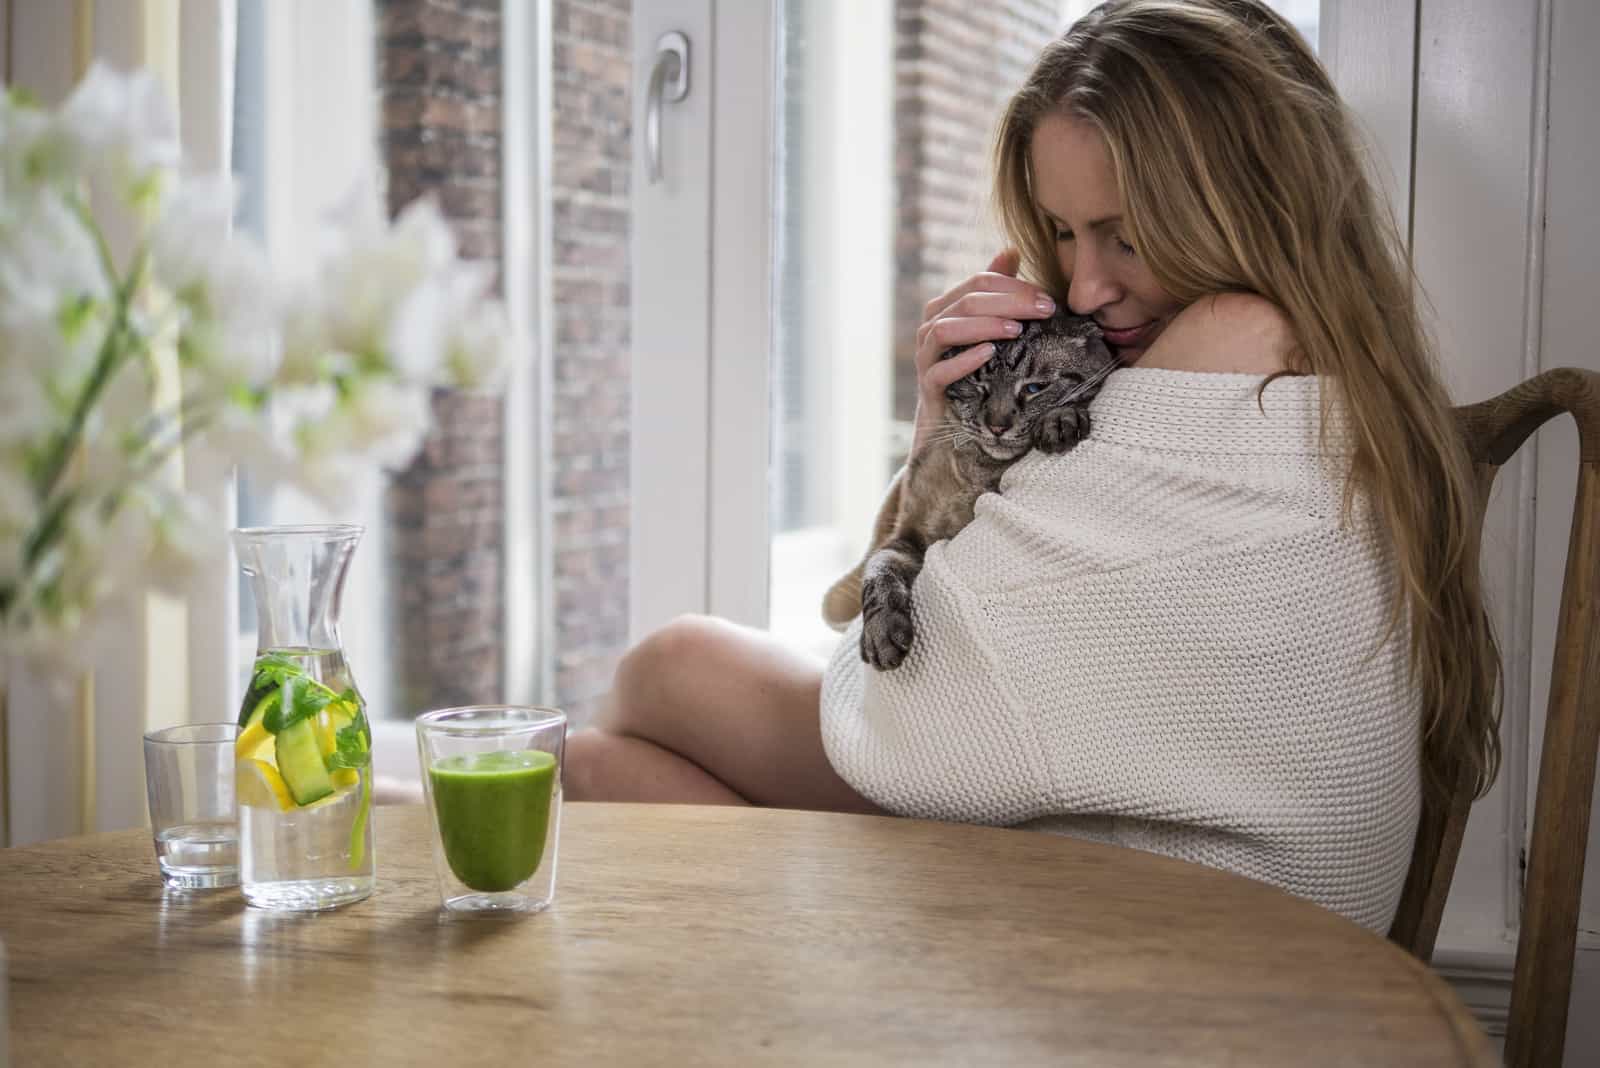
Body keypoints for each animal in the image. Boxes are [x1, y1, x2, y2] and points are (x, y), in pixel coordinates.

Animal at [825, 308, 1113, 671]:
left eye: (1035, 387)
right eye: (978, 386)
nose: (998, 426)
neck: (978, 469)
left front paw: (1060, 419)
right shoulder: (908, 536)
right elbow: (878, 571)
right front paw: (881, 636)